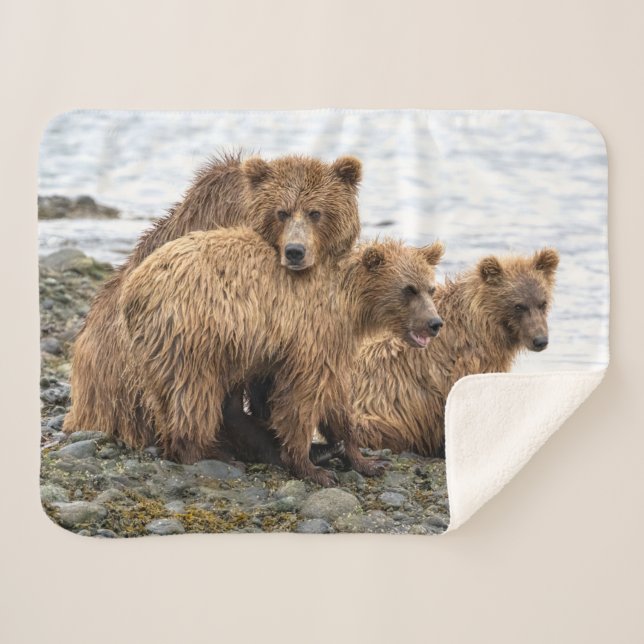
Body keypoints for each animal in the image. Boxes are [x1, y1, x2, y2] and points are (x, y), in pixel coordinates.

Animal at [119, 228, 445, 486]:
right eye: (409, 289)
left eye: (430, 288)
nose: (435, 323)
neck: (350, 304)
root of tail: (132, 288)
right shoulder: (312, 334)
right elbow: (302, 397)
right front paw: (311, 468)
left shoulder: (333, 344)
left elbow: (337, 400)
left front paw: (365, 460)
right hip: (194, 333)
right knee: (193, 392)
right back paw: (209, 453)